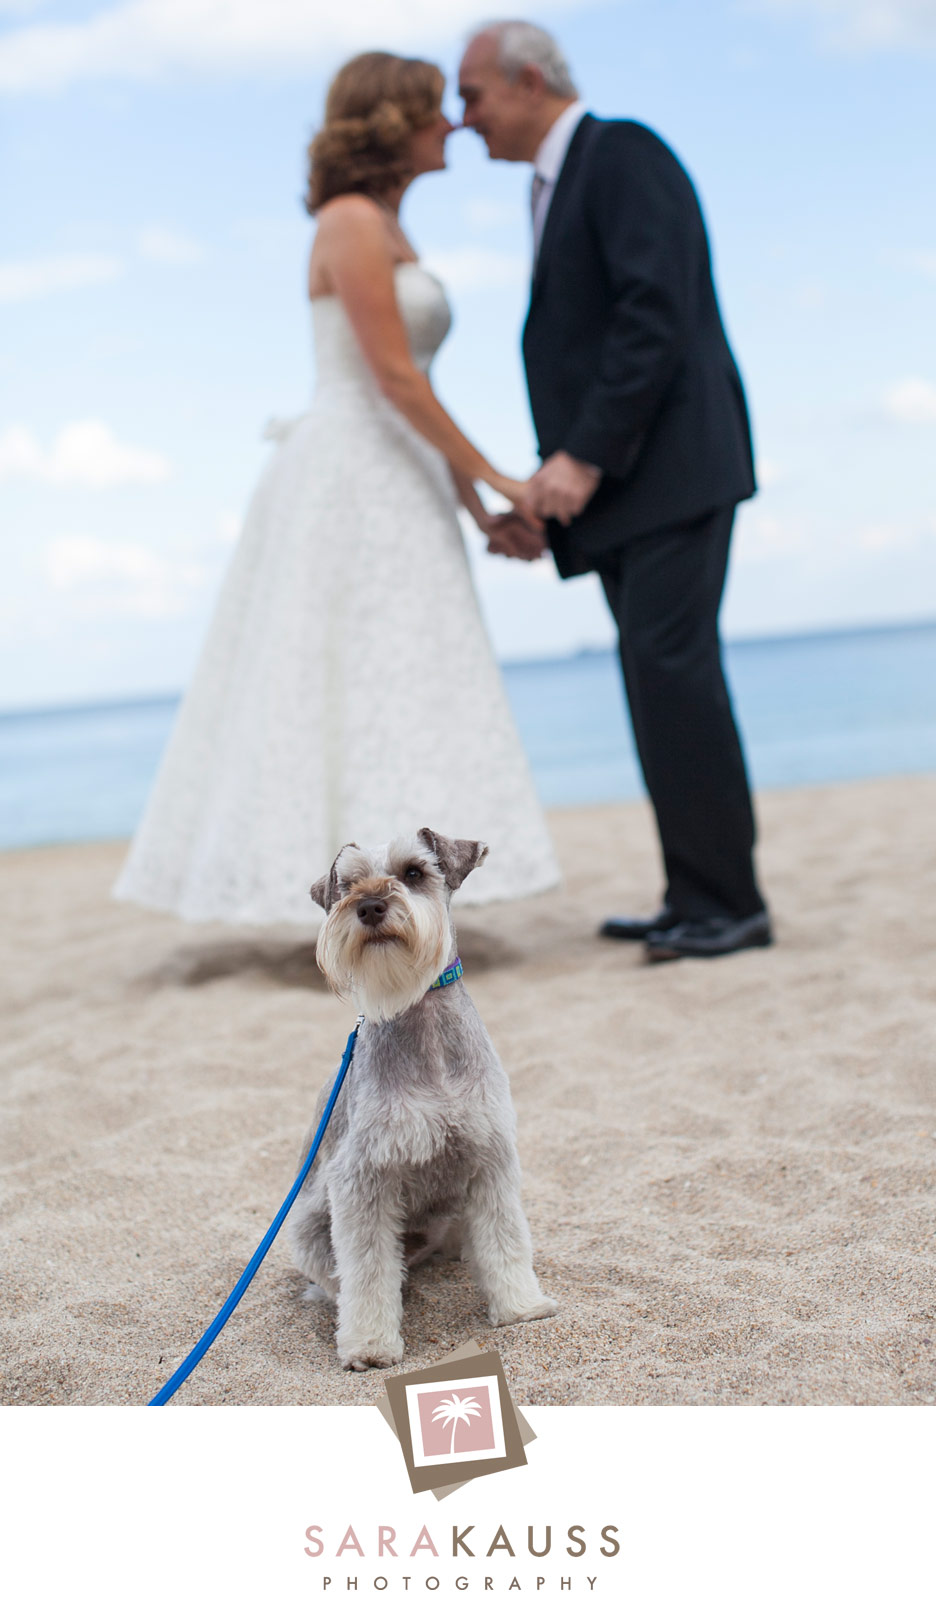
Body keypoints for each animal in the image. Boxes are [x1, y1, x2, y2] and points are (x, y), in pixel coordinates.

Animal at [289, 827, 559, 1370]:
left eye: (413, 872)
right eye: (346, 883)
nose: (370, 905)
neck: (421, 1014)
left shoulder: (490, 1158)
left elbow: (505, 1239)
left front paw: (520, 1307)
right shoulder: (363, 1177)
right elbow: (368, 1270)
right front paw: (370, 1345)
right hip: (309, 1228)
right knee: (342, 1280)